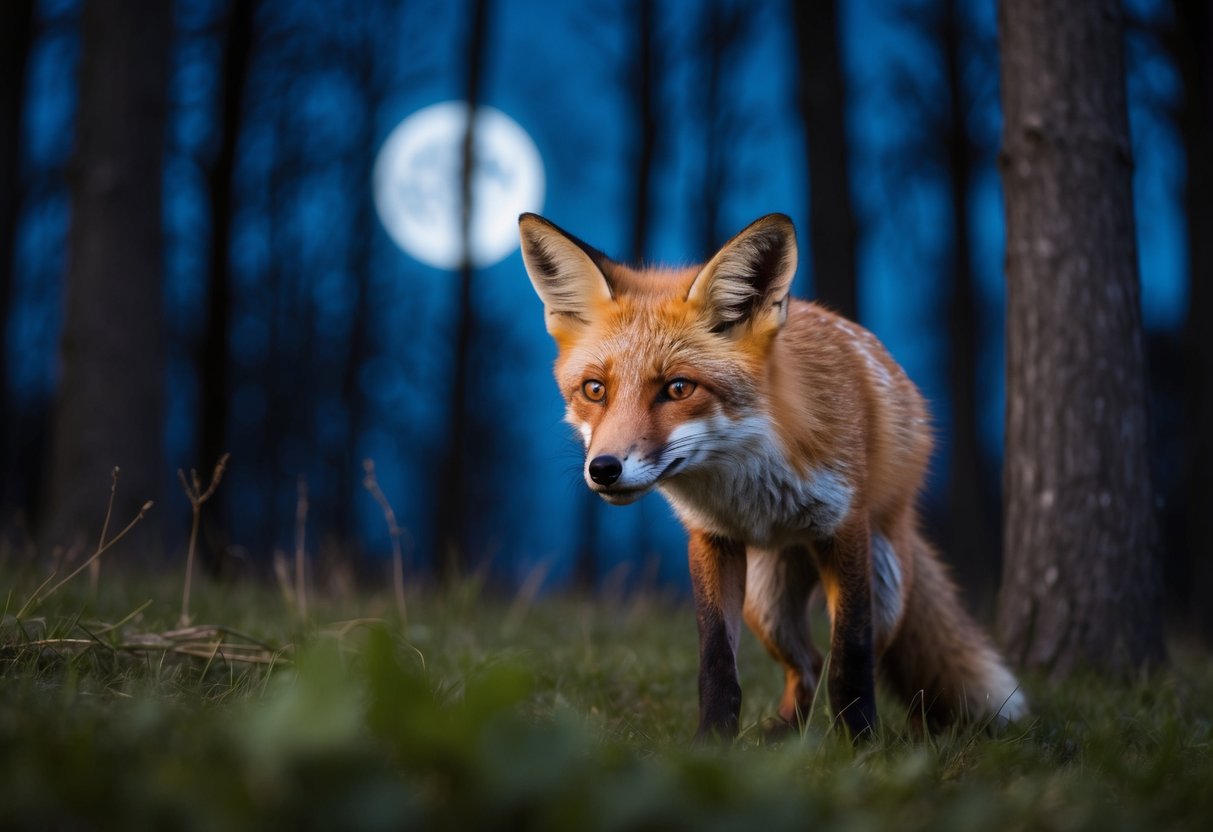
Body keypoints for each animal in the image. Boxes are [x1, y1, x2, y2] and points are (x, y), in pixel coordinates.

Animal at [518, 212, 1026, 740]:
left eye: (678, 388)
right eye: (594, 390)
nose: (603, 469)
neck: (752, 487)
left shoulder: (845, 528)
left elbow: (851, 658)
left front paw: (861, 745)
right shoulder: (711, 539)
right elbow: (717, 662)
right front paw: (712, 743)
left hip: (883, 579)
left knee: (843, 656)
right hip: (767, 605)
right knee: (806, 664)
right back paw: (781, 736)